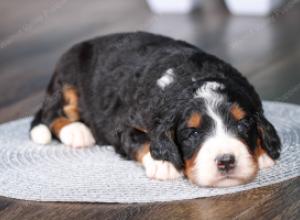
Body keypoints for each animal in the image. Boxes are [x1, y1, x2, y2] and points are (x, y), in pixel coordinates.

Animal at [29, 31, 280, 187]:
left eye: (243, 124)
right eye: (193, 133)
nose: (226, 160)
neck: (192, 77)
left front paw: (263, 153)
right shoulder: (126, 124)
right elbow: (141, 140)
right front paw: (163, 164)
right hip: (68, 78)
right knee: (51, 115)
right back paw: (76, 132)